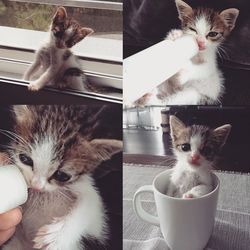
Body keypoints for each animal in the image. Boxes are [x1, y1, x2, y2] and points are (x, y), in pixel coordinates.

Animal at [1, 105, 122, 250]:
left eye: (62, 175)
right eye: (25, 159)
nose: (36, 186)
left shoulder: (86, 190)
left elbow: (90, 203)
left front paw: (56, 237)